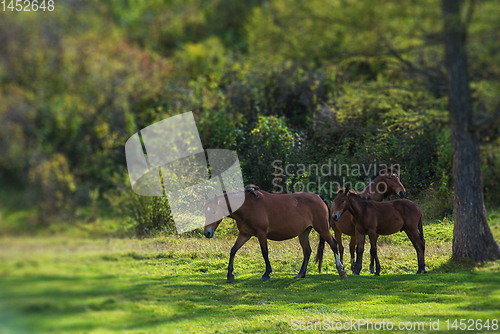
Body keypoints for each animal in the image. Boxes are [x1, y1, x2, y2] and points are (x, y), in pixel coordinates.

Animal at [201, 185, 346, 282]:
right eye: (205, 212)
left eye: (214, 212)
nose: (207, 233)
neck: (248, 206)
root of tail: (318, 197)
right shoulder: (244, 234)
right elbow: (233, 251)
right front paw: (230, 275)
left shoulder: (261, 233)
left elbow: (264, 252)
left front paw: (266, 274)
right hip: (304, 233)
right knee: (307, 251)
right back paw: (300, 274)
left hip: (322, 229)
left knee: (333, 244)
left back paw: (341, 270)